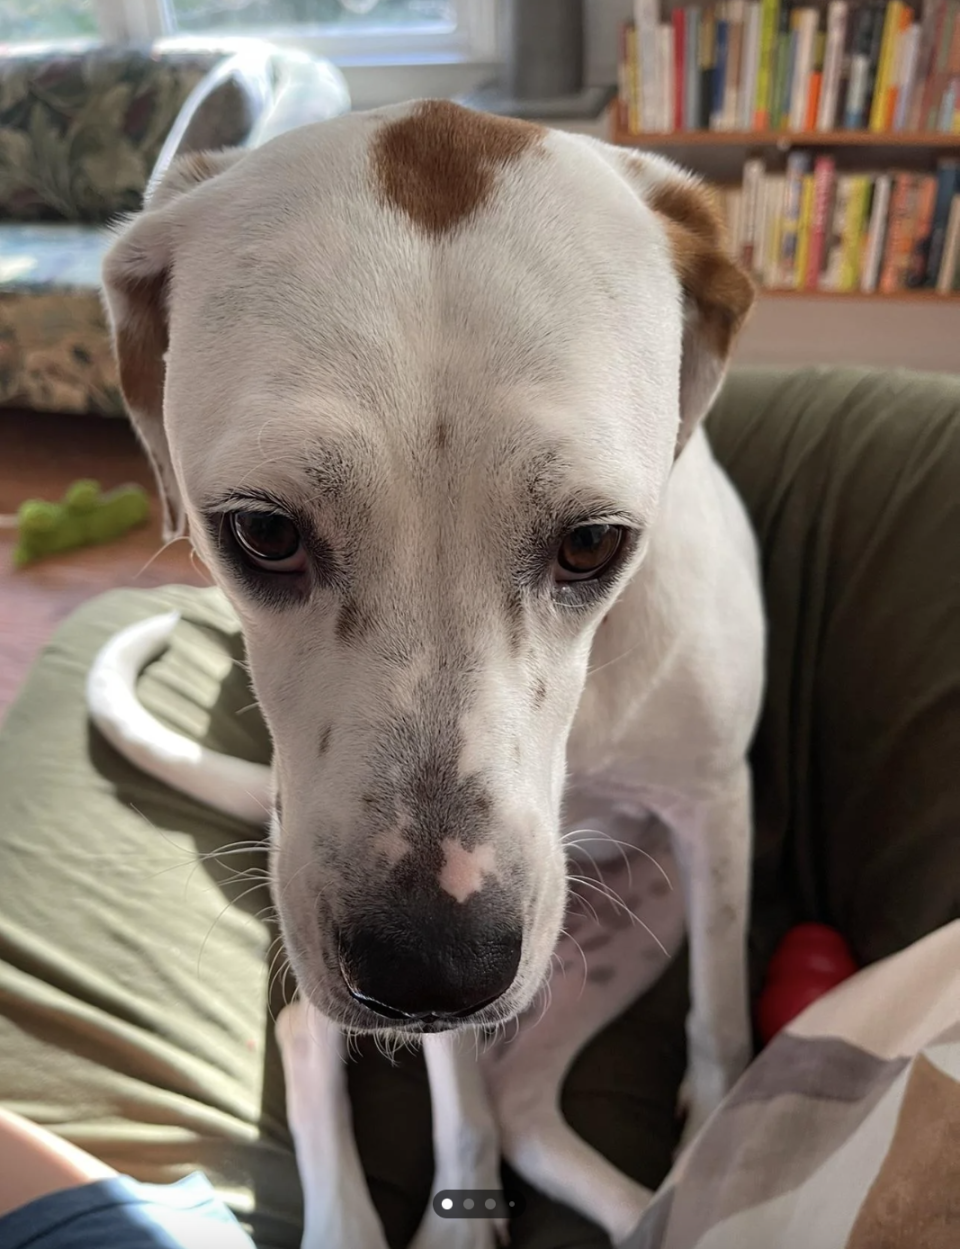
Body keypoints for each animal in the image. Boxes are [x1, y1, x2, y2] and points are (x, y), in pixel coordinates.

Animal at [89, 99, 764, 1249]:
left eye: (594, 542)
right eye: (263, 532)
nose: (428, 970)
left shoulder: (715, 813)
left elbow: (719, 1019)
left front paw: (724, 1156)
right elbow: (456, 1094)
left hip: (644, 908)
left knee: (528, 1101)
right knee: (322, 1041)